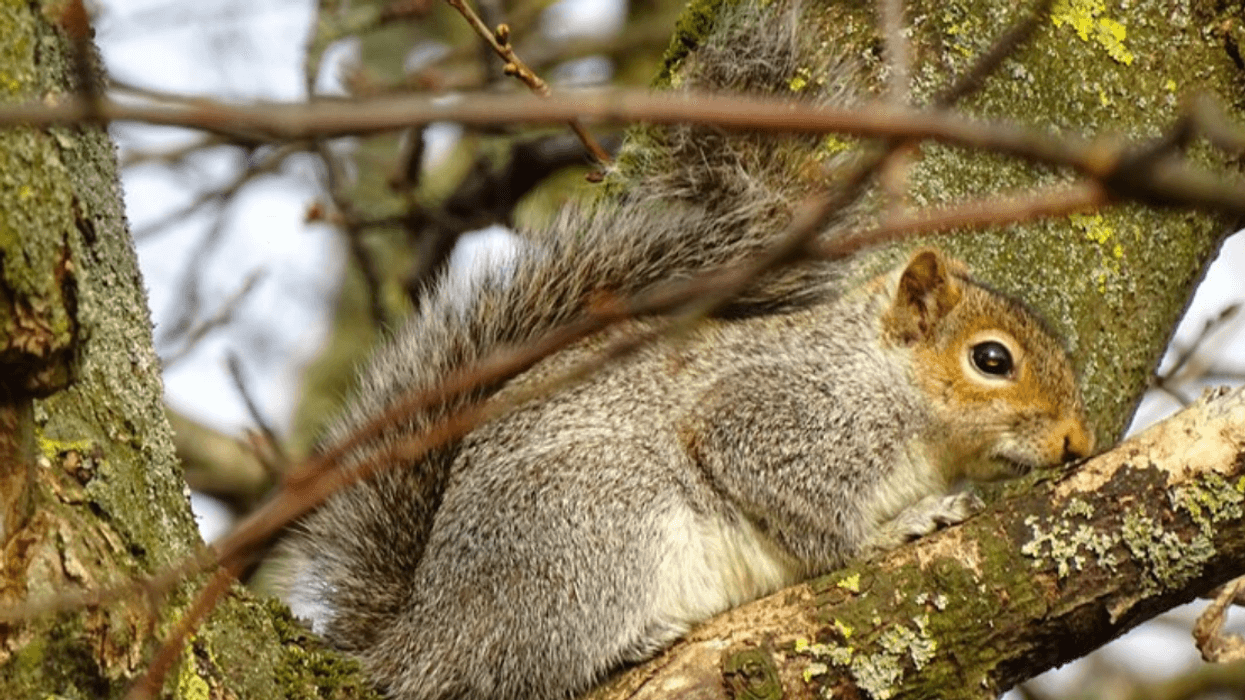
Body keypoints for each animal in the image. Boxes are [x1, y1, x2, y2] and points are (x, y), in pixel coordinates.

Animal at [278, 3, 1095, 699]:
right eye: (991, 361)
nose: (1077, 442)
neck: (883, 380)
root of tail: (426, 638)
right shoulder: (779, 416)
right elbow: (803, 506)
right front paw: (893, 528)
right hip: (592, 529)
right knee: (532, 666)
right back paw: (633, 640)